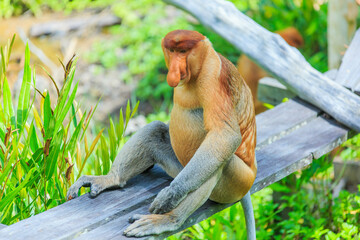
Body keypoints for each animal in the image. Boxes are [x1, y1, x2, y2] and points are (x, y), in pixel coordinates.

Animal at [67, 29, 258, 238]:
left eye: (183, 51)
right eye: (172, 51)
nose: (174, 69)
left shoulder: (214, 77)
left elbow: (225, 135)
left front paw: (171, 195)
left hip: (237, 183)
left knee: (220, 162)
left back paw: (168, 220)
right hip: (180, 167)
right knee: (154, 131)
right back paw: (111, 179)